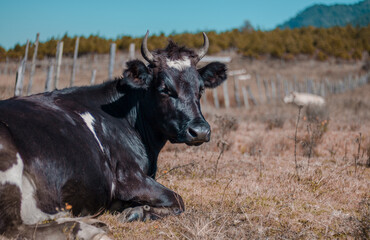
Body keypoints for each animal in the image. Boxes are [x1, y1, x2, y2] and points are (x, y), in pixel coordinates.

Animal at [0, 32, 227, 240]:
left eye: (201, 89)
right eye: (164, 89)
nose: (200, 131)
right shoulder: (128, 179)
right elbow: (178, 199)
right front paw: (137, 212)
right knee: (14, 228)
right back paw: (89, 229)